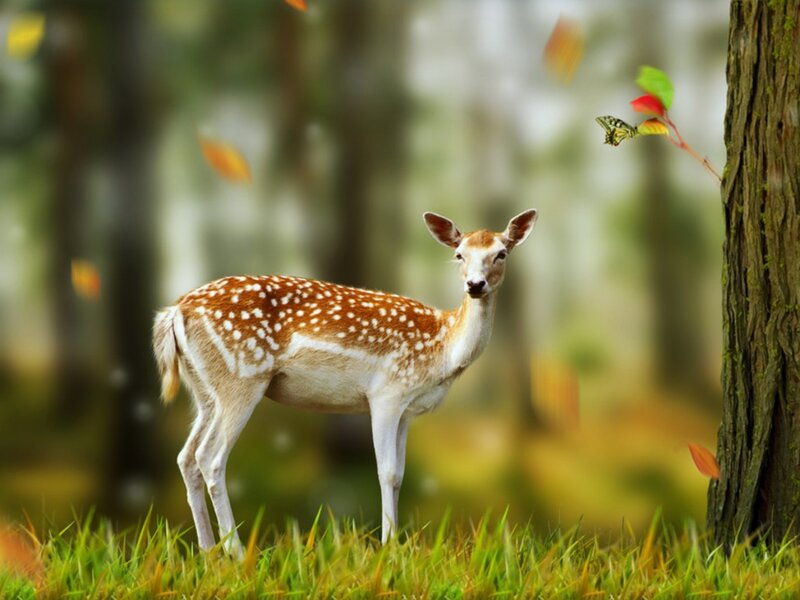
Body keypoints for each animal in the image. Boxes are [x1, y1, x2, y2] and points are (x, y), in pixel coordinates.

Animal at [152, 209, 537, 558]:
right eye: (459, 254)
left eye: (501, 253)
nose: (475, 285)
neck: (442, 349)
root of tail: (175, 312)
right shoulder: (386, 393)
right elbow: (387, 472)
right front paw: (388, 548)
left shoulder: (407, 410)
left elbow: (400, 474)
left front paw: (396, 545)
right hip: (242, 378)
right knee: (210, 457)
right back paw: (235, 552)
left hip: (204, 390)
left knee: (186, 457)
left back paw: (208, 552)